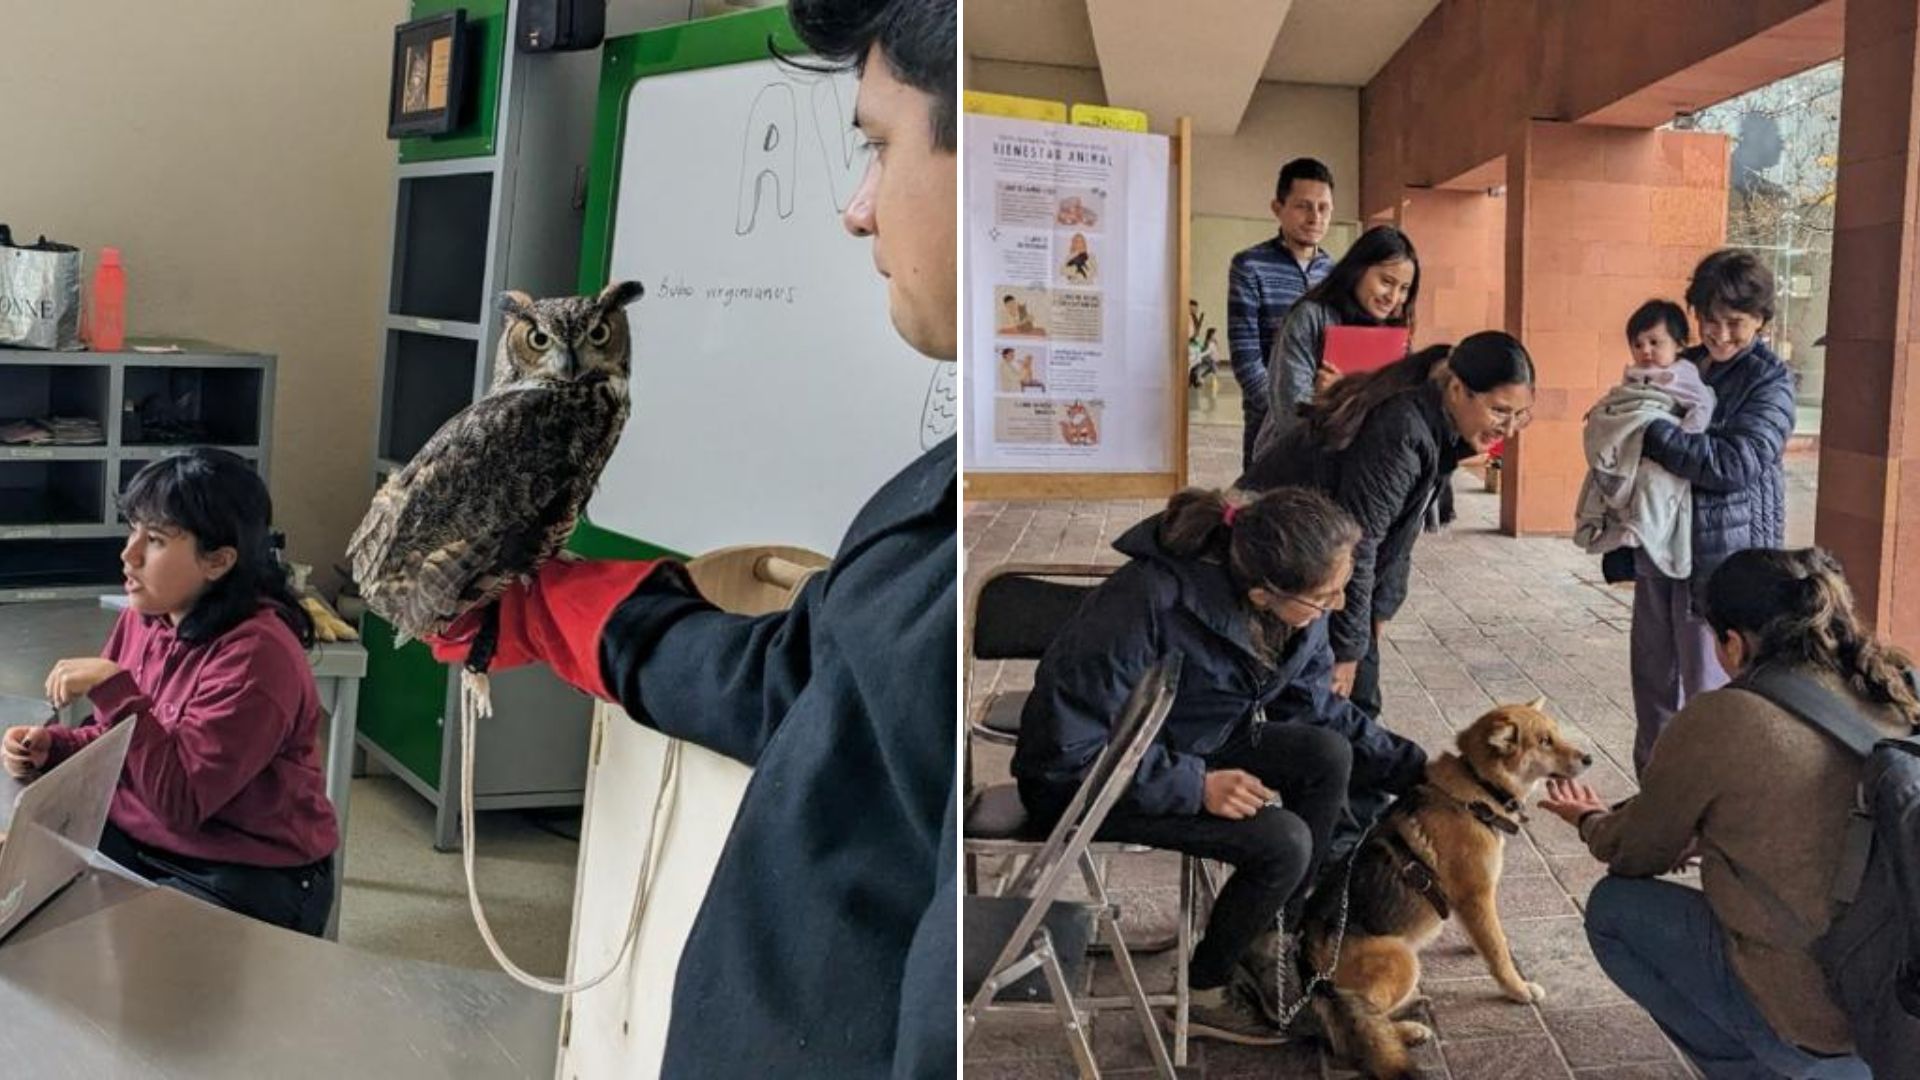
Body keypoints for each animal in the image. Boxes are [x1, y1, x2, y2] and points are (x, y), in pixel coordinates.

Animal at [1305, 699, 1589, 1068]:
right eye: (1544, 742)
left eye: (1556, 734)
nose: (1589, 758)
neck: (1479, 788)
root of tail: (1308, 959)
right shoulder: (1477, 895)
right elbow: (1497, 950)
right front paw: (1518, 989)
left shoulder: (1469, 901)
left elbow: (1484, 936)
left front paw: (1475, 946)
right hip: (1401, 959)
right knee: (1356, 1029)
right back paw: (1409, 1030)